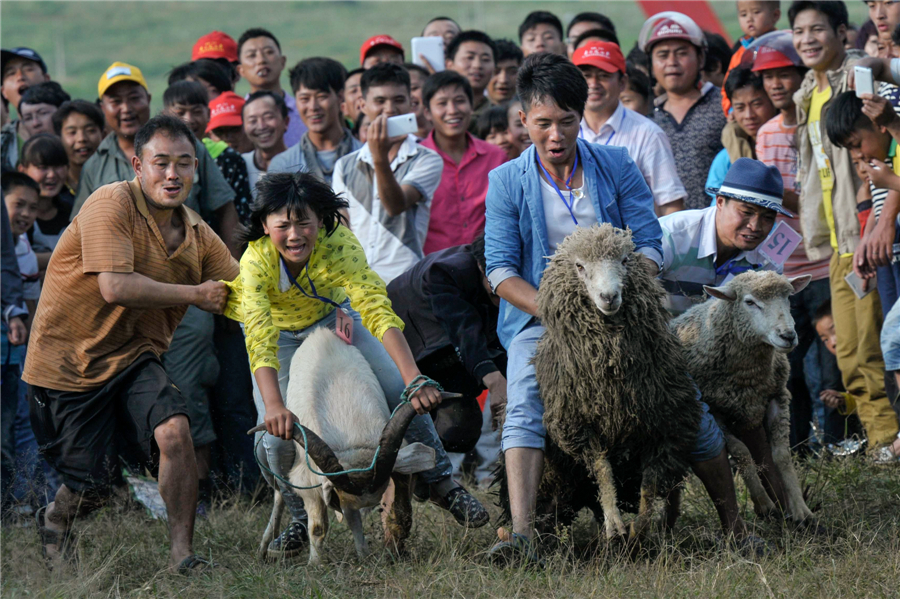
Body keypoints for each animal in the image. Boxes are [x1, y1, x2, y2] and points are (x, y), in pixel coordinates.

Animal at [528, 223, 704, 540]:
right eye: (579, 266)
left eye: (624, 261)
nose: (608, 296)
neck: (613, 378)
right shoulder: (579, 427)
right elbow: (602, 470)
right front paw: (615, 523)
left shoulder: (666, 426)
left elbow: (650, 484)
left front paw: (639, 529)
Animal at [668, 272, 816, 524]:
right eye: (749, 302)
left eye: (788, 297)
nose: (788, 336)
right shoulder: (714, 411)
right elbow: (741, 453)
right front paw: (764, 505)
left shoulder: (777, 397)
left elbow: (781, 455)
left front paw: (800, 509)